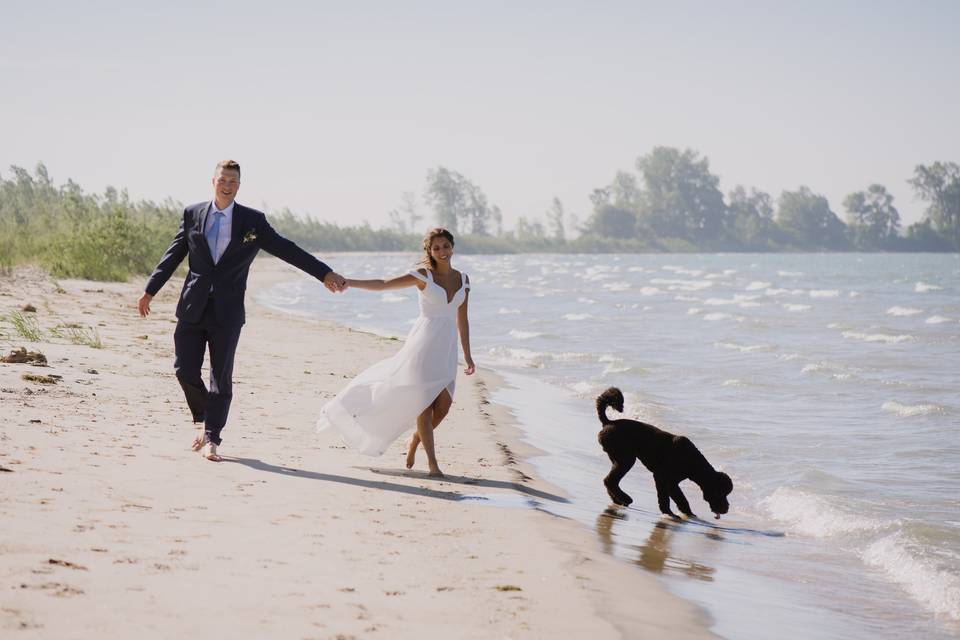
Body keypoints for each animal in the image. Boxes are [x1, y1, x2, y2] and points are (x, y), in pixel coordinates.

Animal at [596, 384, 732, 520]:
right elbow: (666, 498)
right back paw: (625, 498)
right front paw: (669, 512)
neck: (693, 461)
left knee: (610, 481)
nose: (726, 509)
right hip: (626, 460)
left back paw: (618, 500)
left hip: (618, 459)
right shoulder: (661, 477)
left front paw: (686, 512)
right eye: (721, 493)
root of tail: (608, 422)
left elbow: (680, 498)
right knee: (610, 481)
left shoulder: (672, 482)